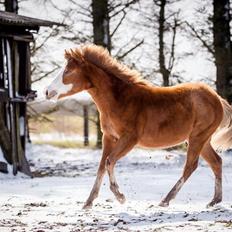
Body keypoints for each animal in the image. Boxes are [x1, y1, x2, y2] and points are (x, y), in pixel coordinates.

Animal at [45, 43, 232, 208]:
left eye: (68, 71)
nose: (47, 92)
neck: (119, 100)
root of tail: (217, 98)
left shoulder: (129, 139)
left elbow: (109, 161)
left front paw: (120, 196)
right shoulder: (109, 138)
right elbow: (101, 166)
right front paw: (88, 203)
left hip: (197, 138)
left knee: (191, 166)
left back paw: (165, 200)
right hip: (202, 139)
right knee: (216, 162)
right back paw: (214, 201)